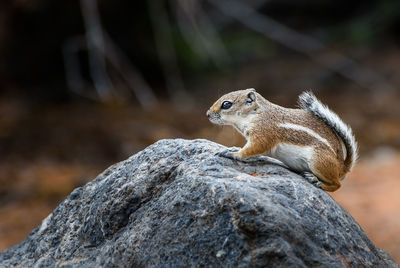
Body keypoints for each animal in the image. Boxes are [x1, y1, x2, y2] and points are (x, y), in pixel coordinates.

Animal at [208, 89, 358, 192]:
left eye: (226, 104)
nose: (208, 114)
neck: (256, 113)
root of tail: (342, 167)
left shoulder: (264, 134)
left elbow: (252, 149)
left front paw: (233, 153)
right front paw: (234, 148)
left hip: (319, 161)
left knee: (337, 184)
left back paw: (317, 181)